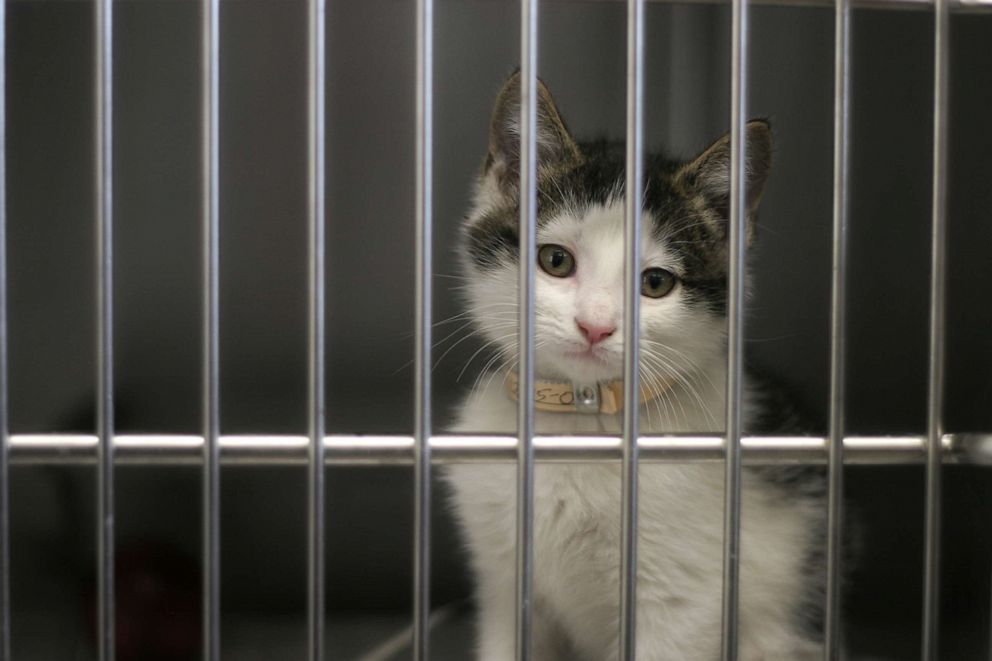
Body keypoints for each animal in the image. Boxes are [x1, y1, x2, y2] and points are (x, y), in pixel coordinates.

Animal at [446, 73, 824, 660]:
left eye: (656, 282)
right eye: (556, 260)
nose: (595, 326)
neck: (584, 424)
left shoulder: (682, 601)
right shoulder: (505, 581)